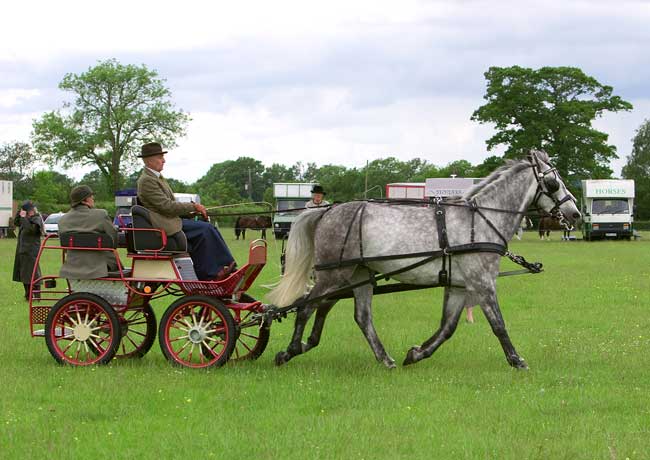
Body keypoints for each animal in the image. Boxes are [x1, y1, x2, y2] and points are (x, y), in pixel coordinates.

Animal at [266, 151, 580, 370]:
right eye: (552, 182)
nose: (575, 213)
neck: (480, 220)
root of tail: (326, 211)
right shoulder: (482, 282)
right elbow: (498, 323)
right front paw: (517, 360)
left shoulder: (459, 285)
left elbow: (447, 327)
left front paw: (417, 353)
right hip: (334, 274)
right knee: (307, 306)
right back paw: (289, 351)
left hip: (358, 274)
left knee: (358, 315)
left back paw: (384, 359)